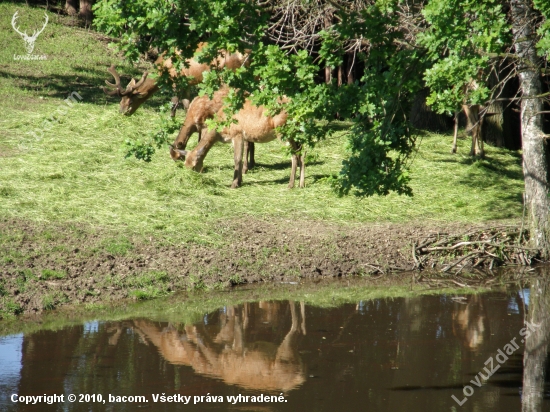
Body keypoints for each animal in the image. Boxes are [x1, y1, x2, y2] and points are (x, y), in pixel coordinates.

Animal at [103, 43, 250, 116]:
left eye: (131, 100)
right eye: (121, 100)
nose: (122, 112)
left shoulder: (176, 80)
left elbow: (173, 104)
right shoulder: (187, 83)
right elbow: (187, 104)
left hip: (229, 76)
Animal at [170, 88, 306, 190]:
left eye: (193, 166)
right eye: (185, 164)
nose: (191, 178)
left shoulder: (238, 134)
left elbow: (237, 159)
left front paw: (234, 184)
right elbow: (238, 159)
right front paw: (239, 182)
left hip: (283, 132)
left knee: (294, 155)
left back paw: (290, 184)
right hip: (297, 133)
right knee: (301, 152)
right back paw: (301, 184)